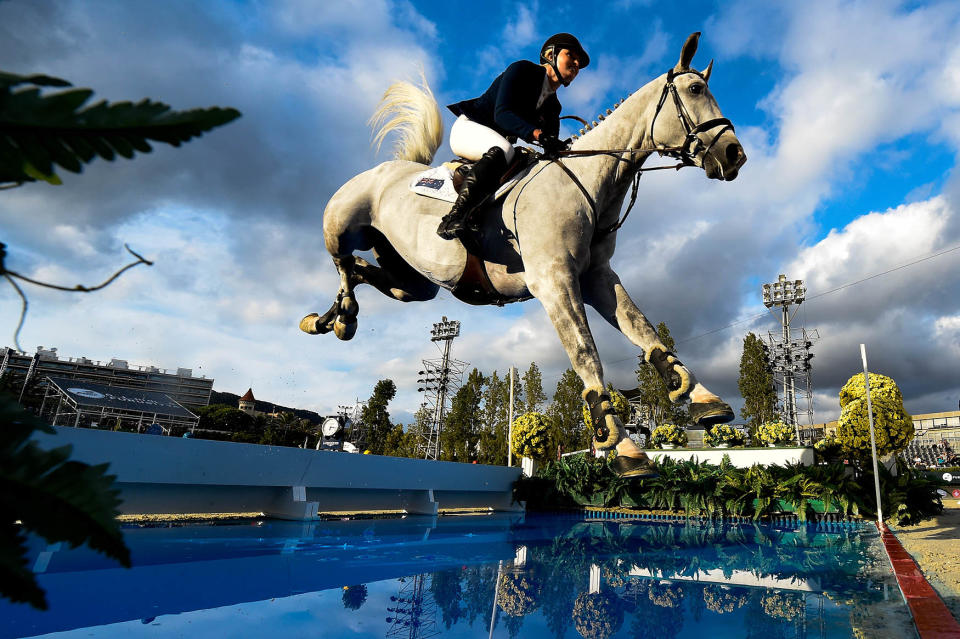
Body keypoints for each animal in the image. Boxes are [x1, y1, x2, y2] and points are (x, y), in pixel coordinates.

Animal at [304, 33, 748, 476]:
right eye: (696, 90)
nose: (735, 155)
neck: (586, 183)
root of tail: (389, 169)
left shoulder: (596, 277)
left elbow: (644, 329)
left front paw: (706, 402)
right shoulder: (554, 281)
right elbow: (587, 355)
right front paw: (625, 451)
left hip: (416, 283)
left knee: (365, 270)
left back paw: (332, 318)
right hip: (341, 224)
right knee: (342, 258)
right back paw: (339, 317)